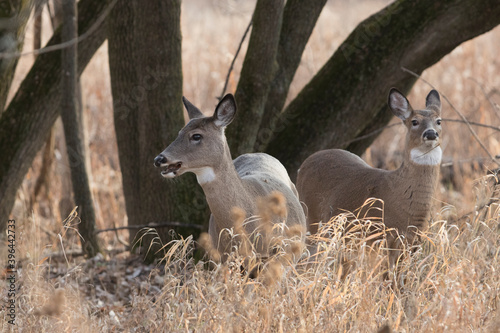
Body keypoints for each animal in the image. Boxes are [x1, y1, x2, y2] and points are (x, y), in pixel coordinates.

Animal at [296, 88, 442, 260]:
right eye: (414, 121)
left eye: (439, 121)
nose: (431, 133)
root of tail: (304, 164)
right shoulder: (376, 234)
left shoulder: (410, 242)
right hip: (311, 215)